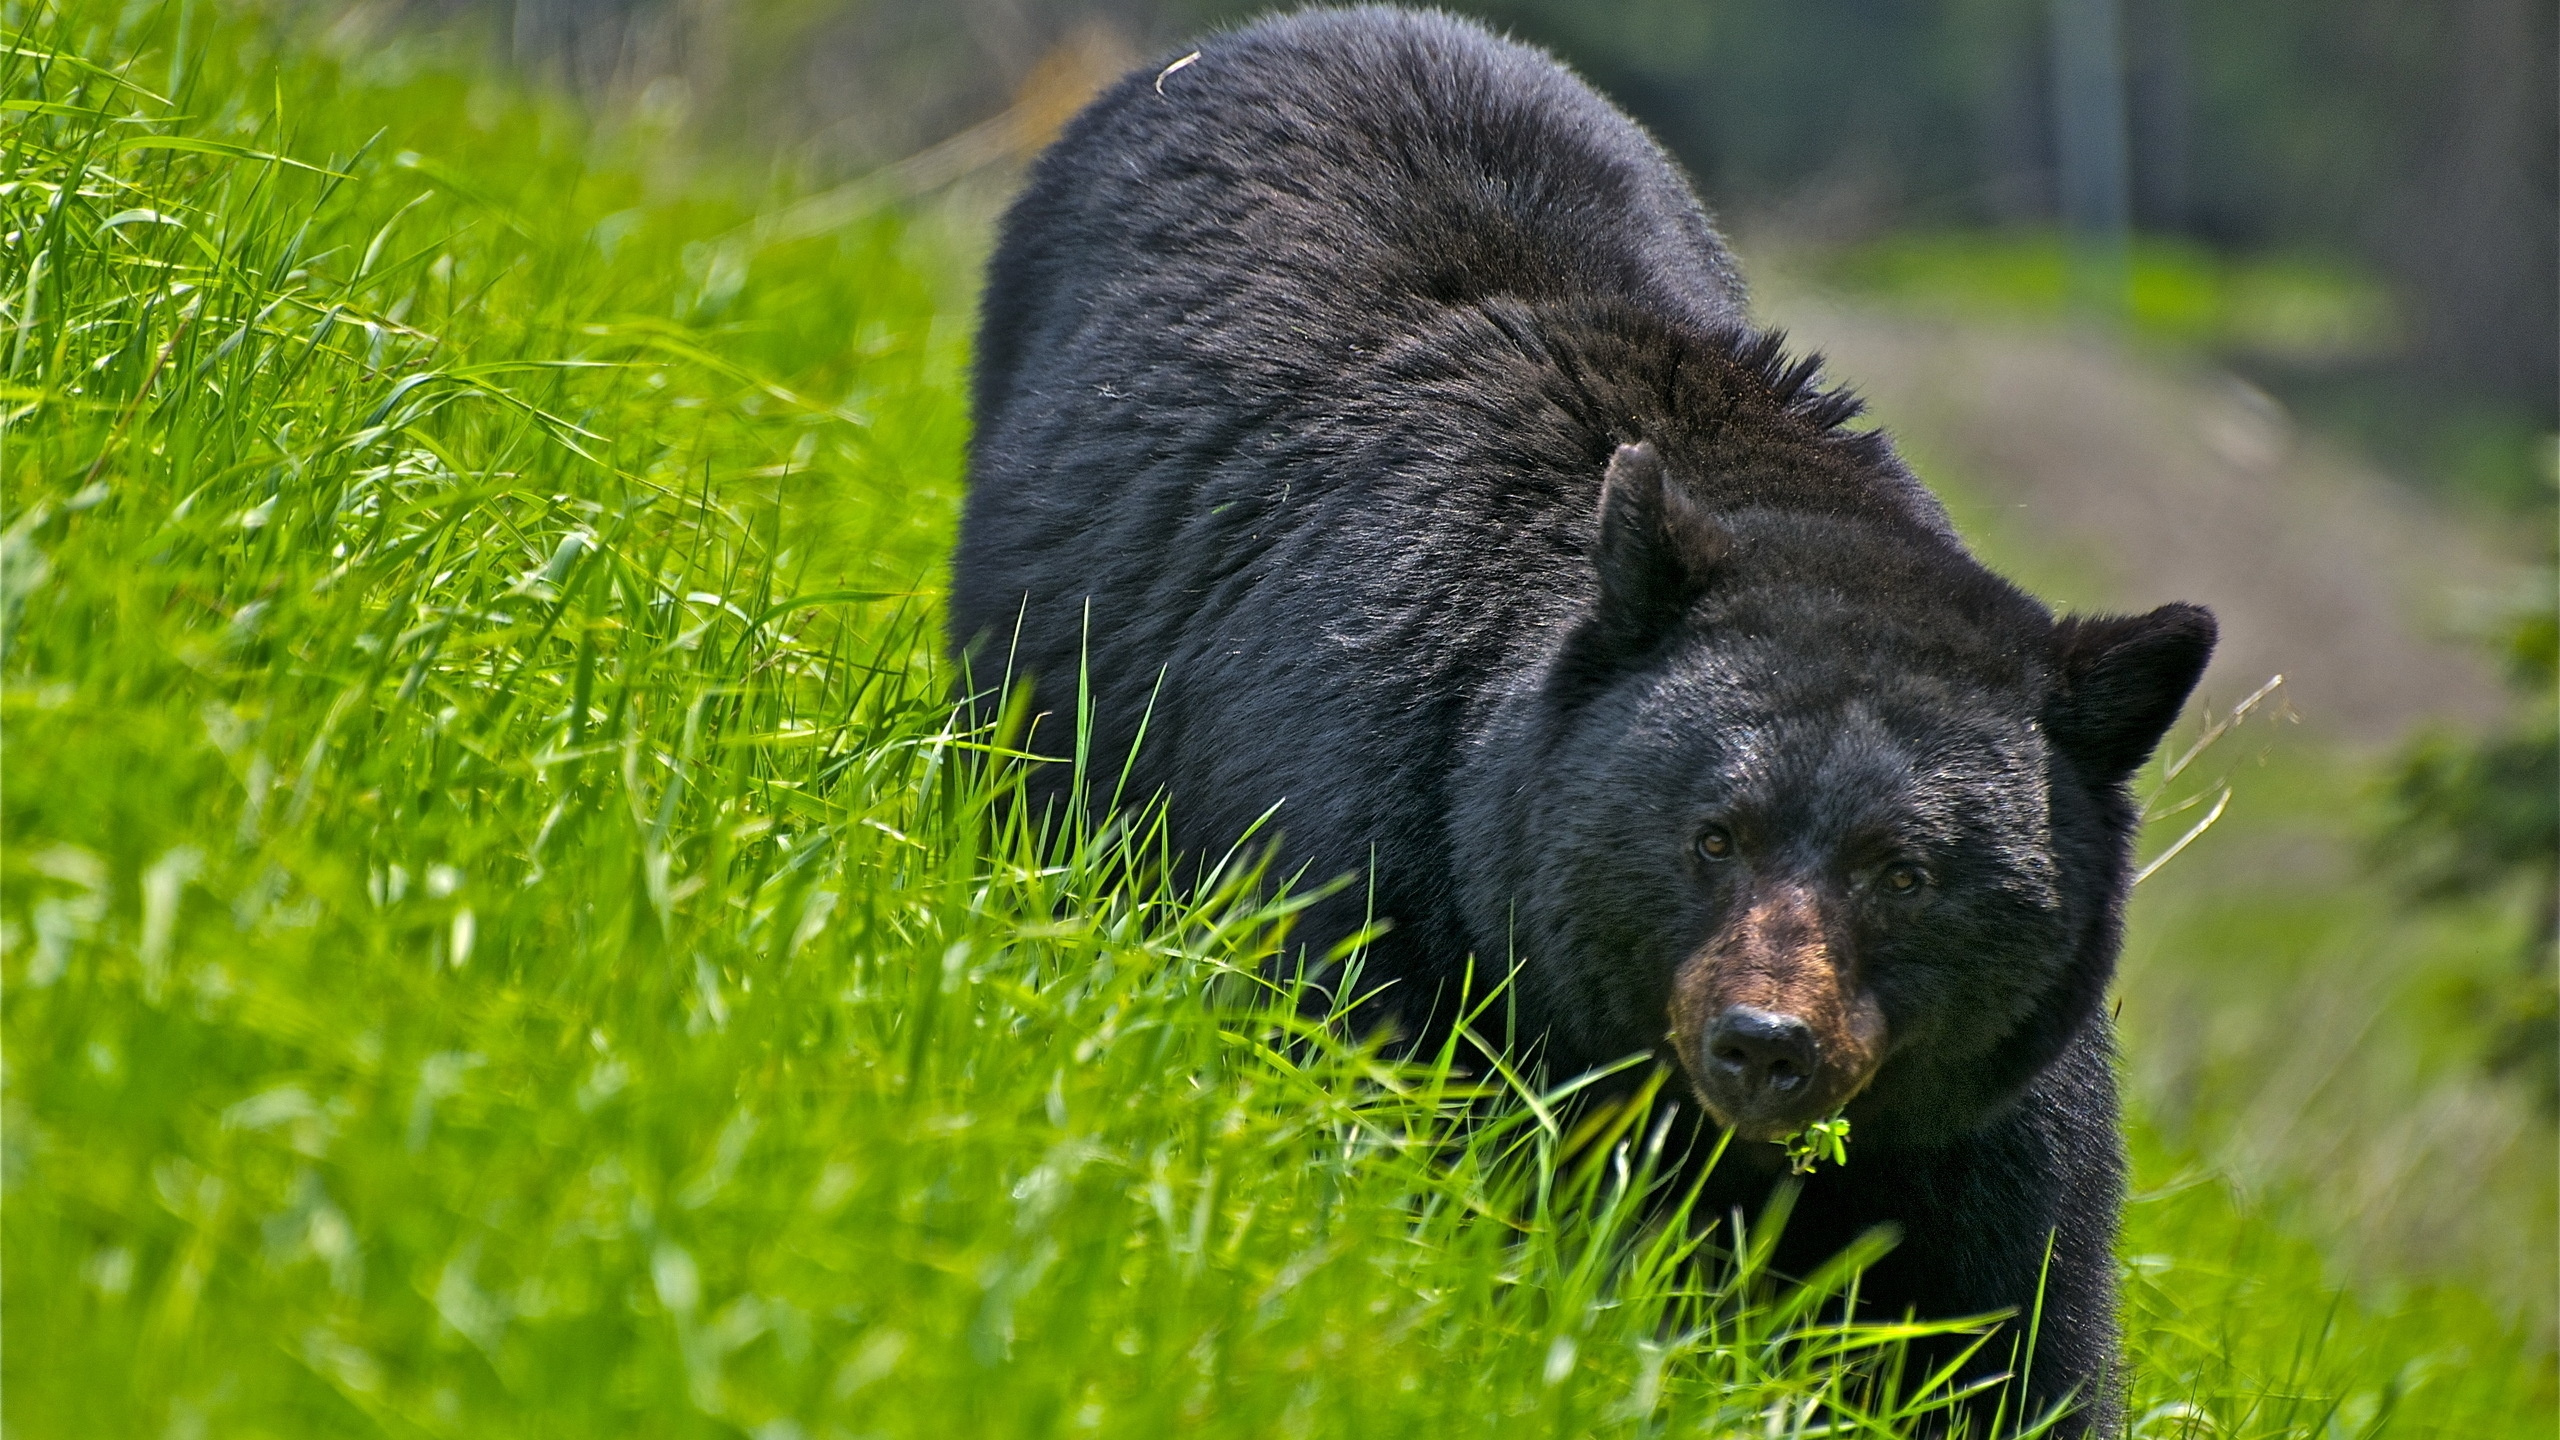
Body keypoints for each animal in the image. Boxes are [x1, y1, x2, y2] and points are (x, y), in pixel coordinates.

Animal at [950, 8, 2215, 1434]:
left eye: (1906, 873)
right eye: (1712, 835)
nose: (1764, 1046)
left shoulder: (1978, 1124)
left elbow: (2007, 1328)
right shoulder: (1387, 868)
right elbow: (1372, 1112)